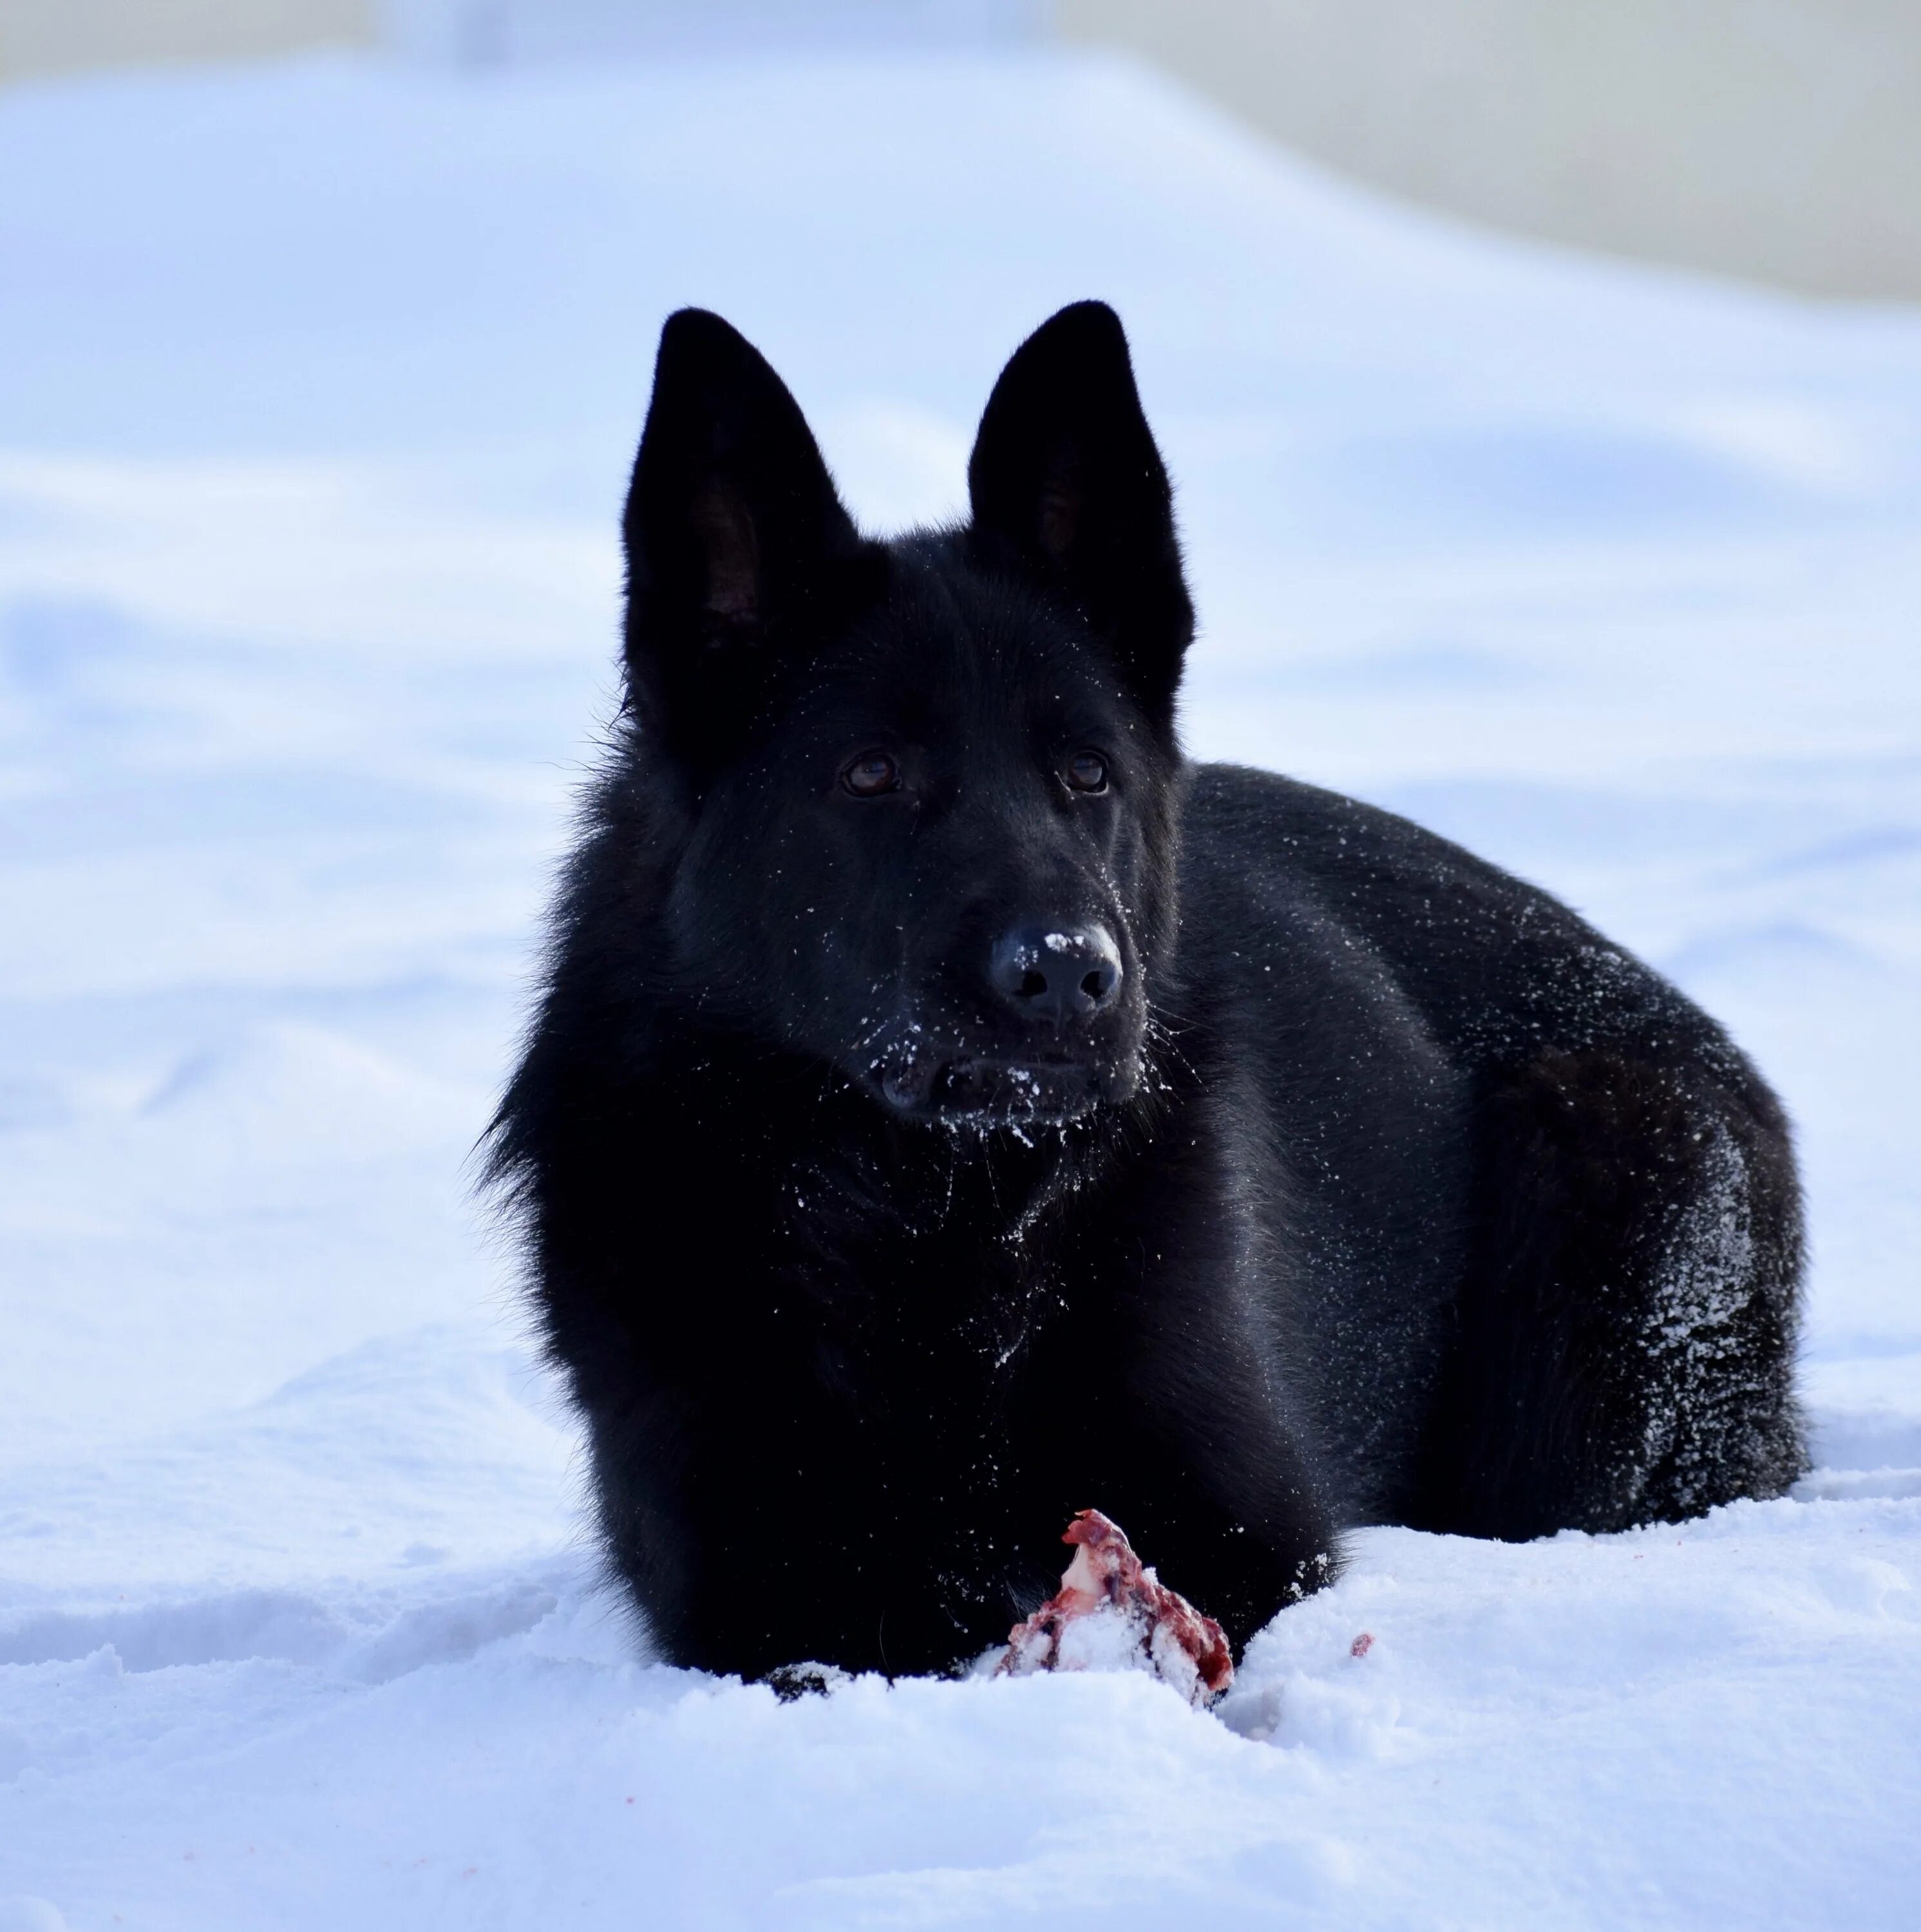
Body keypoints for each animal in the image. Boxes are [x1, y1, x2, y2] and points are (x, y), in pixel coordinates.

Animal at [487, 301, 1801, 1677]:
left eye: (1086, 772)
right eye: (869, 774)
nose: (1068, 975)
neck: (932, 1224)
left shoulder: (1247, 1527)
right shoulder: (755, 1582)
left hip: (1598, 1164)